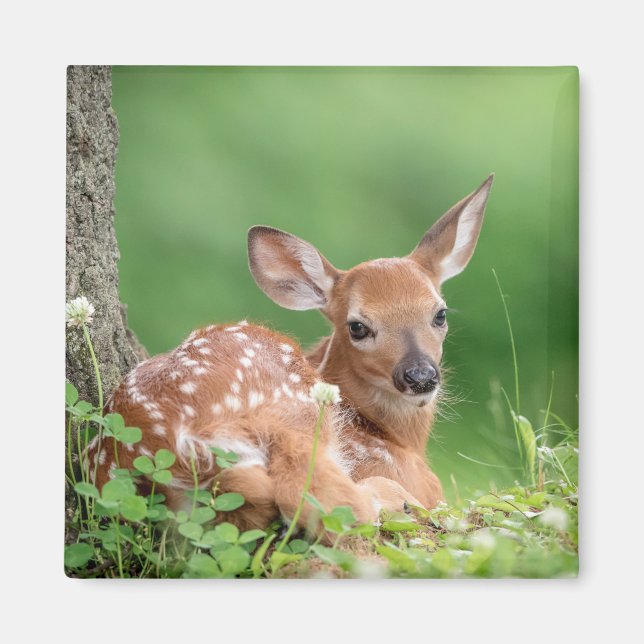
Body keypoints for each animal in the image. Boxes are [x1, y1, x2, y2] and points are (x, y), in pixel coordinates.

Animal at [87, 174, 494, 535]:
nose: (420, 376)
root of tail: (177, 445)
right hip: (294, 414)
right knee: (324, 500)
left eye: (440, 314)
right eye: (357, 326)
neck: (394, 437)